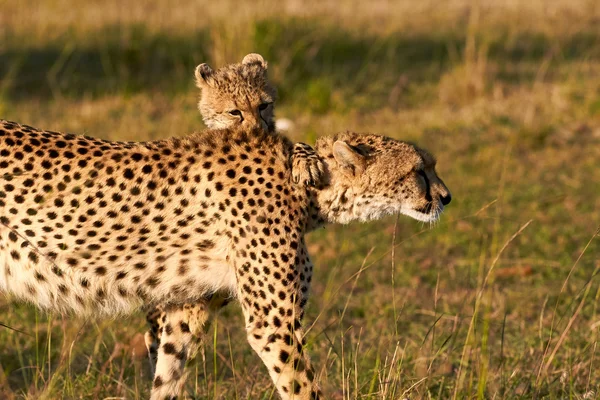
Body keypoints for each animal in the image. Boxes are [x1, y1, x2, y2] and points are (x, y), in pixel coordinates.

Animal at [0, 119, 450, 400]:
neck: (309, 189)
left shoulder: (186, 310)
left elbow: (168, 376)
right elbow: (301, 386)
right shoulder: (274, 325)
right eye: (418, 170)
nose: (447, 198)